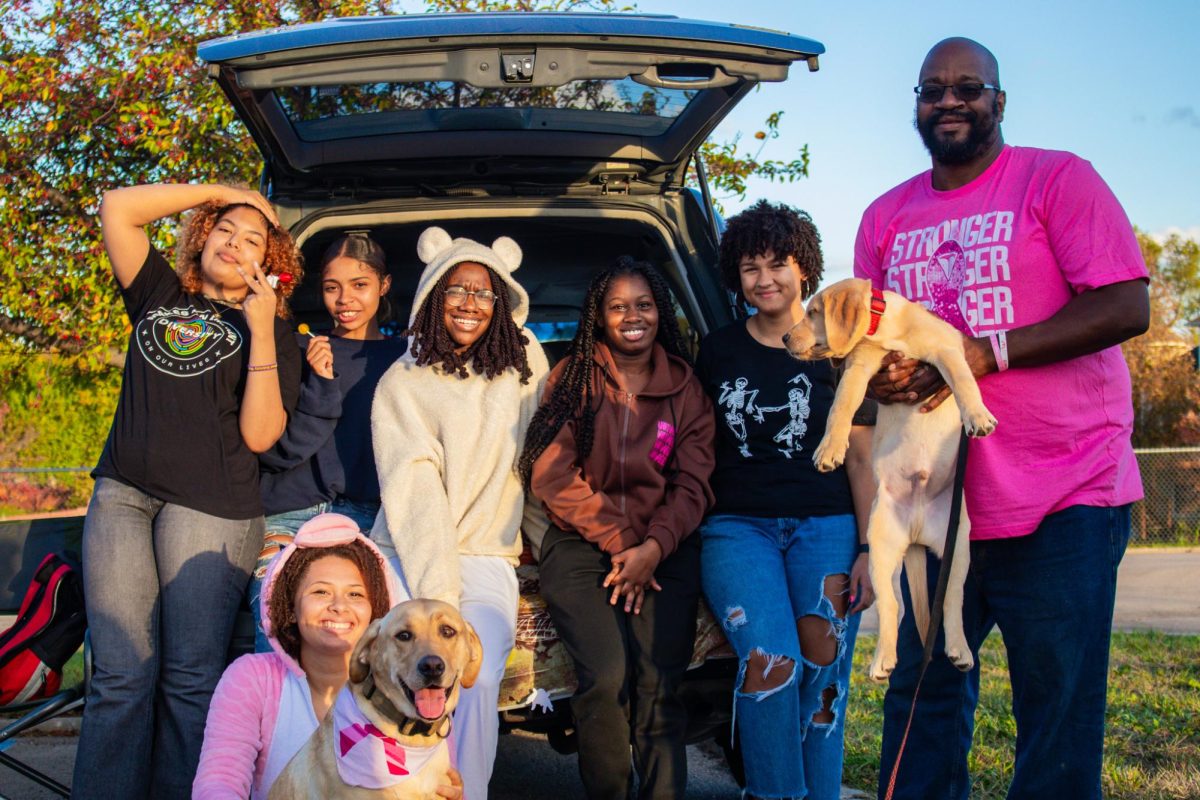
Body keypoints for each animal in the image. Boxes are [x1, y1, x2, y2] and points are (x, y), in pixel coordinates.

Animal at [782, 280, 998, 681]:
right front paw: (830, 448)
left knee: (951, 601)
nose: (786, 337)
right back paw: (882, 660)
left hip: (958, 547)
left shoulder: (946, 348)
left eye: (813, 312)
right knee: (892, 607)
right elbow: (841, 408)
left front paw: (977, 416)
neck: (886, 330)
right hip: (881, 550)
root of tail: (915, 532)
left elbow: (962, 380)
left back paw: (959, 650)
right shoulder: (860, 368)